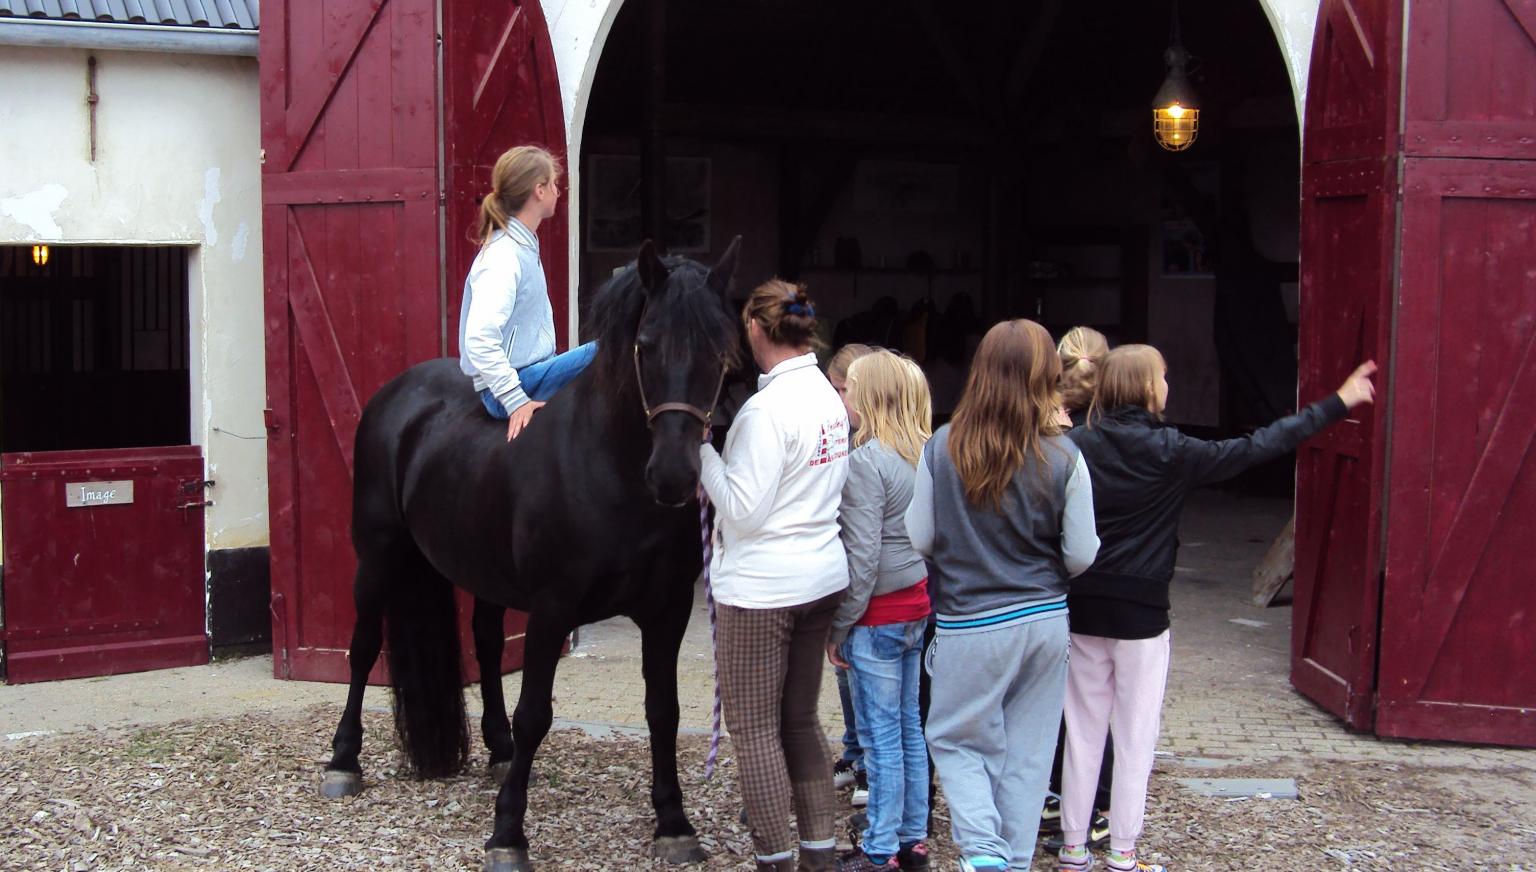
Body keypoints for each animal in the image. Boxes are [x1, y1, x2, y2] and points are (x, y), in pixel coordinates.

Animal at [319, 237, 743, 872]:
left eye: (721, 352)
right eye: (645, 346)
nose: (672, 476)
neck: (610, 468)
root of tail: (397, 395)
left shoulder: (667, 611)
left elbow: (663, 710)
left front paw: (673, 823)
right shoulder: (552, 609)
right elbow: (536, 712)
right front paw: (507, 835)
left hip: (483, 572)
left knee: (489, 645)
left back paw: (499, 751)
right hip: (377, 557)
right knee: (365, 648)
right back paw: (344, 762)